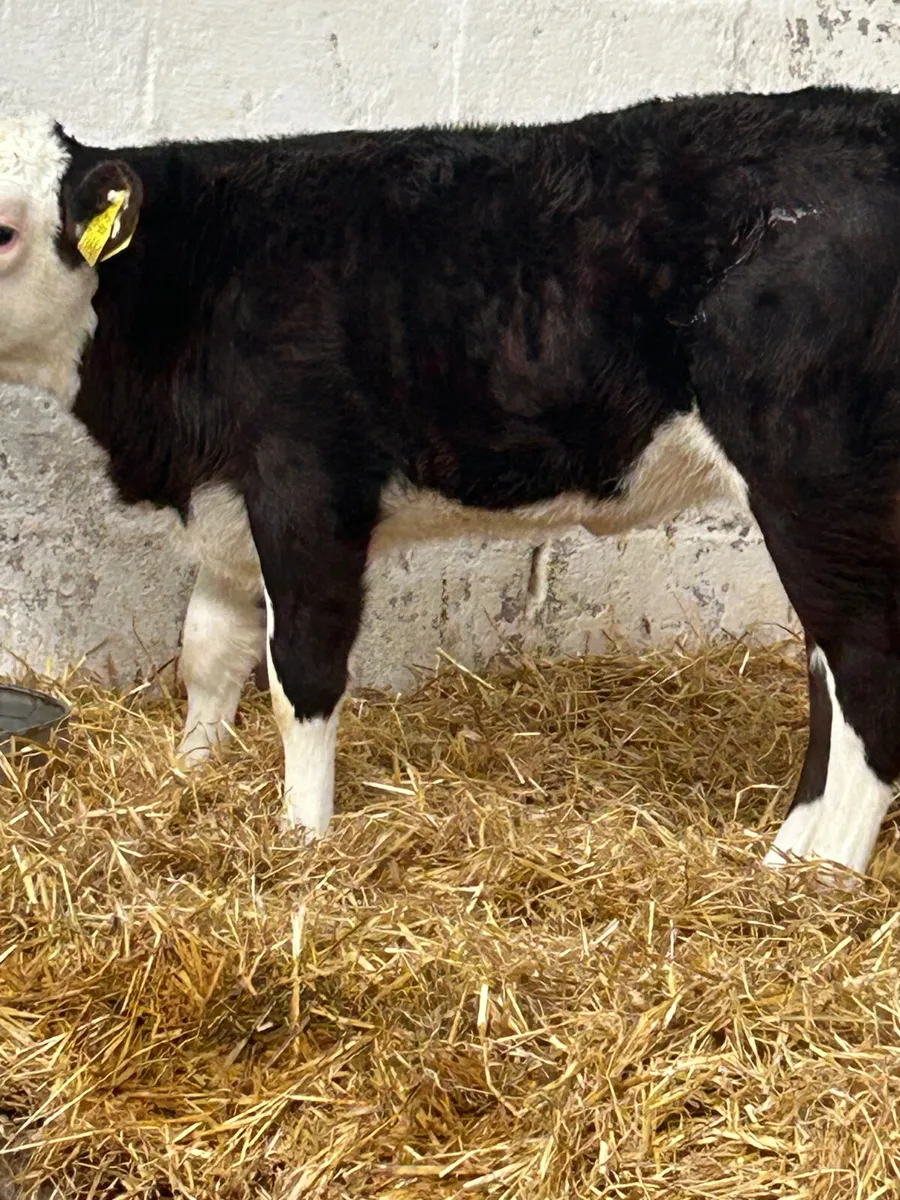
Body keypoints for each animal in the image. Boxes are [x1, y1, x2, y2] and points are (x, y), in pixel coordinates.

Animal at [0, 85, 897, 878]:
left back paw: (812, 881)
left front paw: (303, 837)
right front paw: (190, 776)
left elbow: (302, 672)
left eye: (5, 231)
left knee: (863, 664)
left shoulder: (308, 488)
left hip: (814, 477)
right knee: (830, 669)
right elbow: (209, 654)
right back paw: (794, 855)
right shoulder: (225, 507)